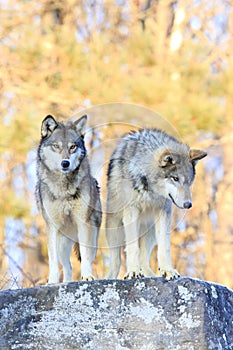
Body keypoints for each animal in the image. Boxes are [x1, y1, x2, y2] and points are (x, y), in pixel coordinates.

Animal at [36, 115, 101, 284]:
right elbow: (52, 261)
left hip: (92, 237)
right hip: (62, 244)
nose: (65, 163)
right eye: (56, 146)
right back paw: (65, 282)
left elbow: (85, 256)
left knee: (84, 258)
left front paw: (87, 276)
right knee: (67, 267)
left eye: (72, 147)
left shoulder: (83, 223)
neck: (64, 188)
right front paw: (52, 281)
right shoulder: (51, 226)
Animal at [106, 127, 207, 280]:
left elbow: (164, 246)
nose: (188, 205)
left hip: (150, 231)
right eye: (175, 178)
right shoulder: (131, 211)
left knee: (144, 260)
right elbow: (132, 248)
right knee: (116, 261)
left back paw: (150, 275)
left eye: (189, 182)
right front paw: (133, 271)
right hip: (114, 231)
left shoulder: (164, 211)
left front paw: (168, 270)